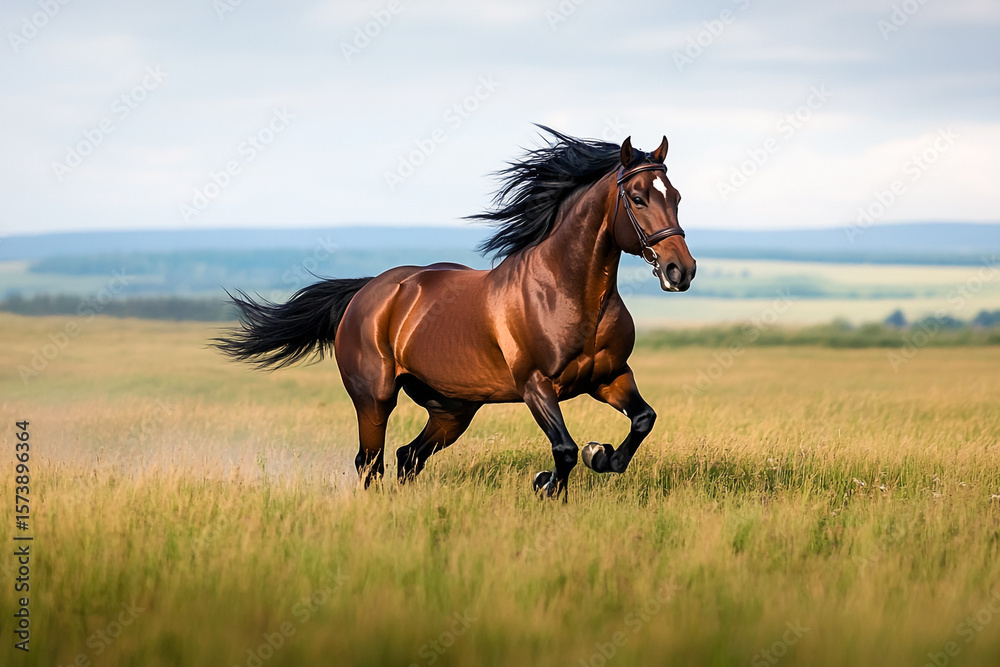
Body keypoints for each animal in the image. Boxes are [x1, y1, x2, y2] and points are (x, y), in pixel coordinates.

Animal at [214, 126, 696, 500]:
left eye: (675, 196)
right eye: (637, 198)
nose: (681, 270)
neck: (570, 292)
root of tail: (368, 291)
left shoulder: (609, 377)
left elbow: (642, 421)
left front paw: (603, 455)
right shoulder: (537, 386)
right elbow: (564, 450)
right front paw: (546, 484)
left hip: (452, 408)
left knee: (407, 457)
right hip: (375, 398)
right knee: (371, 463)